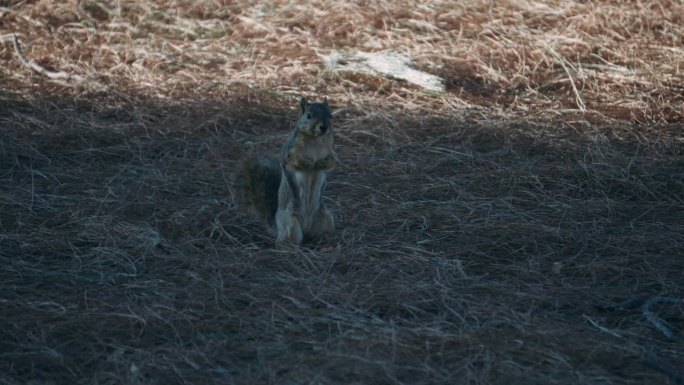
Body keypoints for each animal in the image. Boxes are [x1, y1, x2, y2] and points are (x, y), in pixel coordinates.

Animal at [235, 96, 336, 246]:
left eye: (330, 115)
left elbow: (332, 161)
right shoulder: (290, 150)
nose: (323, 127)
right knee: (287, 241)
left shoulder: (330, 148)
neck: (315, 139)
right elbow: (295, 161)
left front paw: (320, 164)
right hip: (290, 223)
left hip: (326, 218)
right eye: (308, 115)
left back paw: (327, 242)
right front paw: (310, 164)